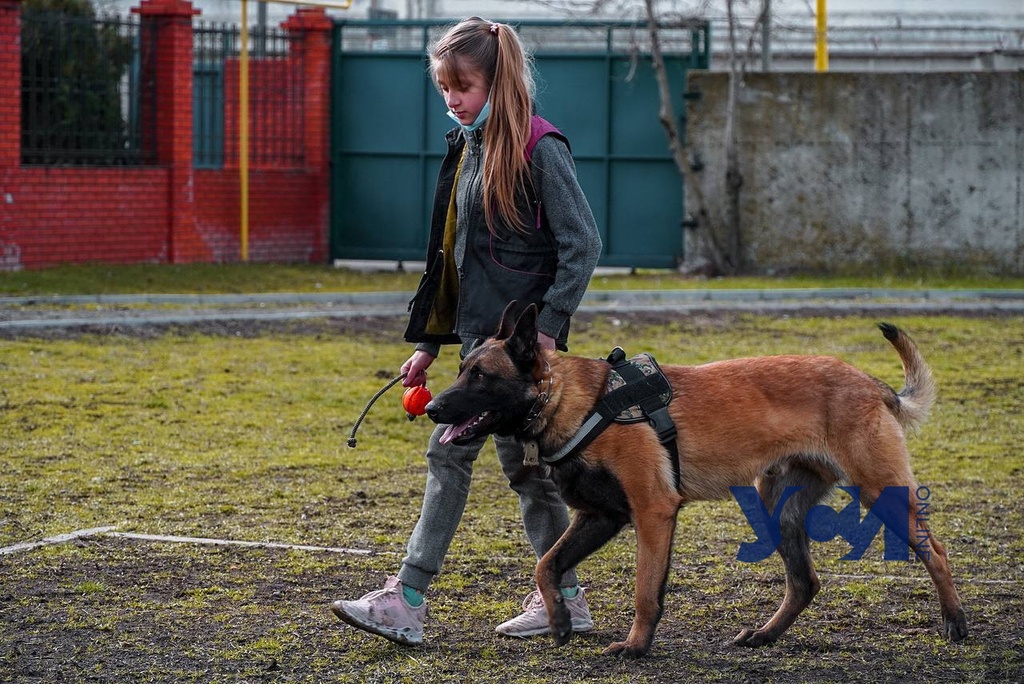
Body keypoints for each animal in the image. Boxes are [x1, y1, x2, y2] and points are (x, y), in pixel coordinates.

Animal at [421, 303, 966, 655]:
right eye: (462, 369)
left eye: (481, 376)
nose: (430, 409)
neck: (570, 401)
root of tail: (871, 383)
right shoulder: (600, 516)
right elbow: (546, 564)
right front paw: (557, 620)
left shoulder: (652, 511)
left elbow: (645, 590)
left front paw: (636, 646)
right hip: (775, 508)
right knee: (804, 582)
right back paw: (764, 636)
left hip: (880, 492)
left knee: (935, 552)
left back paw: (955, 623)